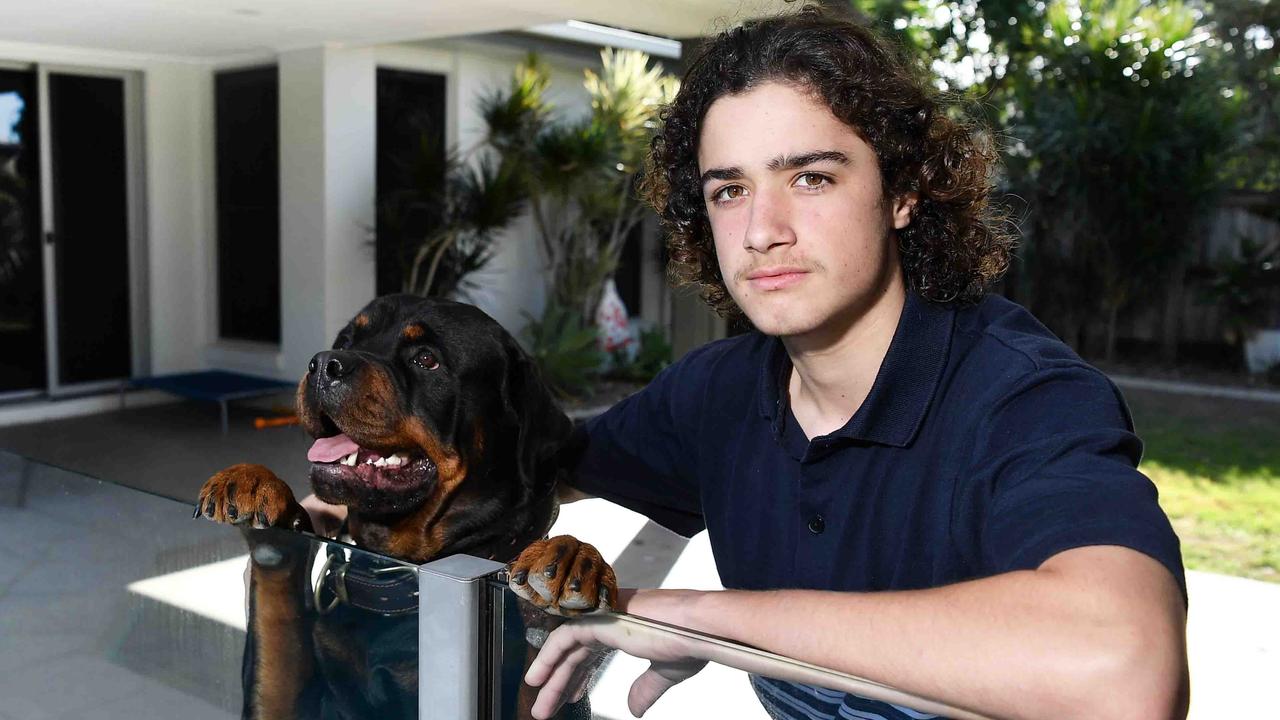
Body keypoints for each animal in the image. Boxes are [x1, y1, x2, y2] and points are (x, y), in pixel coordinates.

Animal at [195, 293, 619, 717]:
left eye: (426, 359)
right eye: (346, 340)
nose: (323, 363)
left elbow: (540, 684)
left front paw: (565, 561)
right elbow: (275, 608)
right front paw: (252, 481)